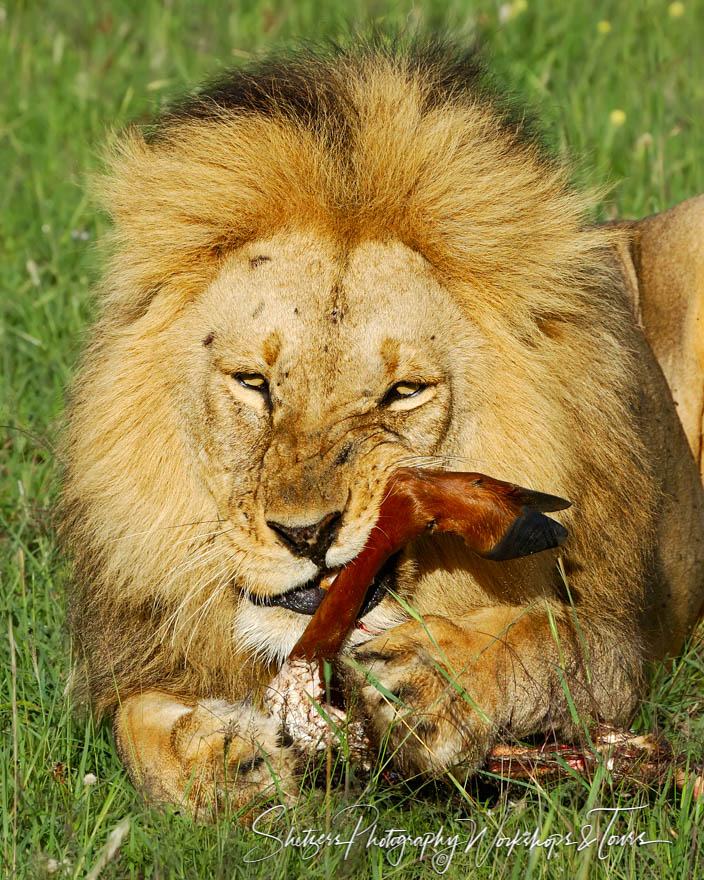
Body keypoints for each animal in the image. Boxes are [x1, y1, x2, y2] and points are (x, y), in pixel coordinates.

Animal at [62, 43, 704, 820]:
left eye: (403, 393)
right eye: (254, 384)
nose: (307, 535)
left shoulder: (619, 641)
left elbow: (542, 632)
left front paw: (437, 677)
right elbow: (134, 727)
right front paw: (223, 760)